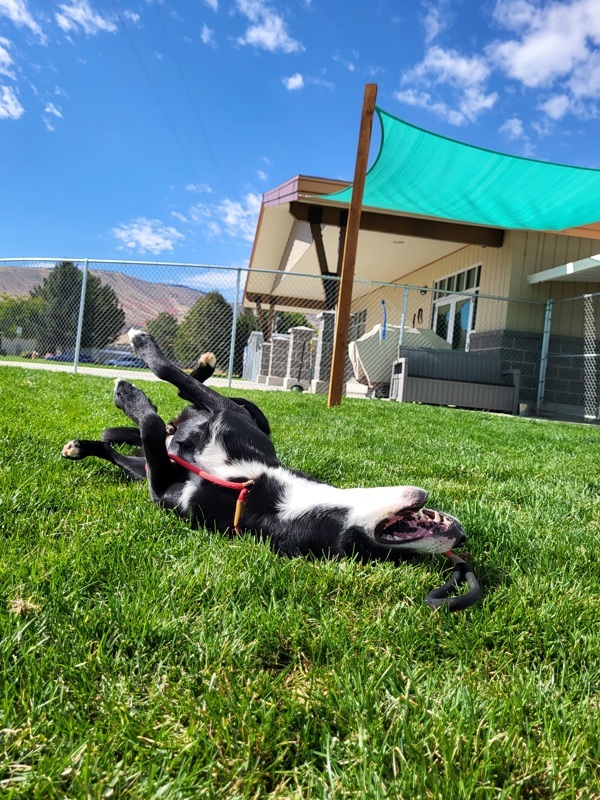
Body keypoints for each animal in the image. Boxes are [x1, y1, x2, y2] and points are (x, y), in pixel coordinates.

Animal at [63, 328, 480, 608]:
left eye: (388, 558)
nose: (460, 539)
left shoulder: (161, 485)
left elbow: (150, 417)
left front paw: (129, 394)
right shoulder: (223, 414)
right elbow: (168, 372)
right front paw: (141, 357)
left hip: (143, 468)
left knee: (135, 443)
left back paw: (85, 444)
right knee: (183, 395)